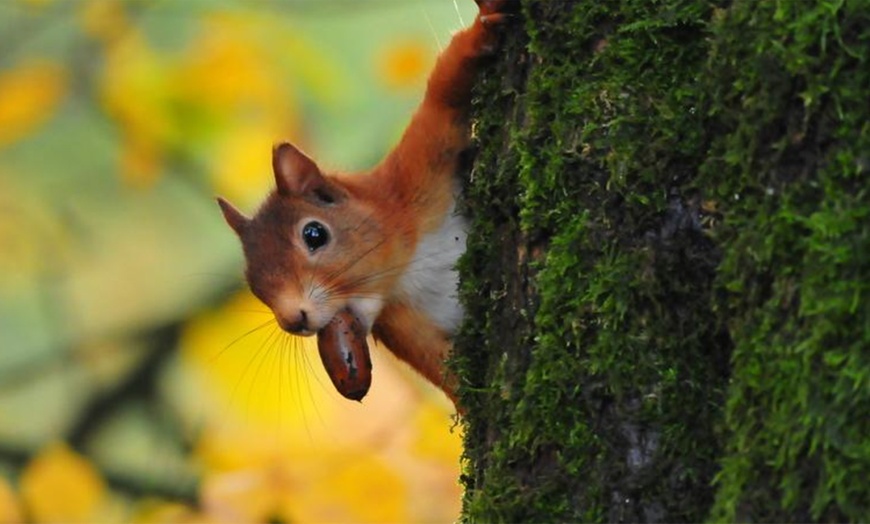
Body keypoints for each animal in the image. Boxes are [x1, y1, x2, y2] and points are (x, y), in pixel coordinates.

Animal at [218, 0, 516, 406]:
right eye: (252, 284)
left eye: (314, 234)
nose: (293, 321)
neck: (406, 265)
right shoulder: (404, 327)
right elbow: (443, 369)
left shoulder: (415, 168)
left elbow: (444, 92)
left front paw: (481, 29)